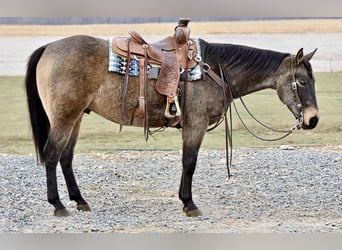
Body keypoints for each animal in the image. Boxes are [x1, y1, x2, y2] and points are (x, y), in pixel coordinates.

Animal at [24, 30, 318, 217]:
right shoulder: (195, 124)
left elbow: (186, 163)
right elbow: (189, 163)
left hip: (75, 118)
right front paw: (189, 204)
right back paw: (58, 205)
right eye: (303, 81)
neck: (214, 68)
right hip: (64, 117)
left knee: (66, 157)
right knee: (52, 154)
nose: (313, 119)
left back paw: (80, 201)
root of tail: (48, 48)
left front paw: (184, 200)